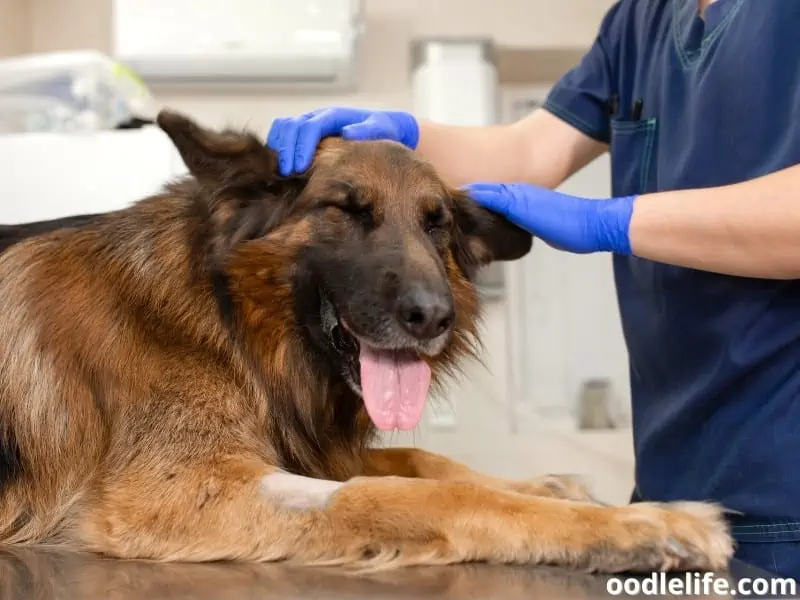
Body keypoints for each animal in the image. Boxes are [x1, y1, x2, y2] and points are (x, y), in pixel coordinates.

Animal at [0, 110, 732, 576]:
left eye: (437, 224)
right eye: (347, 211)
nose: (432, 318)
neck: (228, 318)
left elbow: (420, 460)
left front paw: (548, 487)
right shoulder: (178, 493)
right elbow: (403, 494)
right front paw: (640, 525)